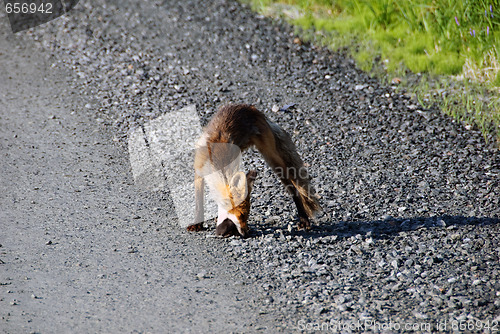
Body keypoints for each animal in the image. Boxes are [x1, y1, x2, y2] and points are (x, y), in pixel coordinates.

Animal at [188, 103, 320, 236]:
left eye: (247, 215)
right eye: (242, 215)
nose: (247, 233)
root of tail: (249, 107)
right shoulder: (198, 171)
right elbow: (199, 202)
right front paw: (197, 223)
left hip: (272, 158)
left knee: (294, 188)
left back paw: (303, 219)